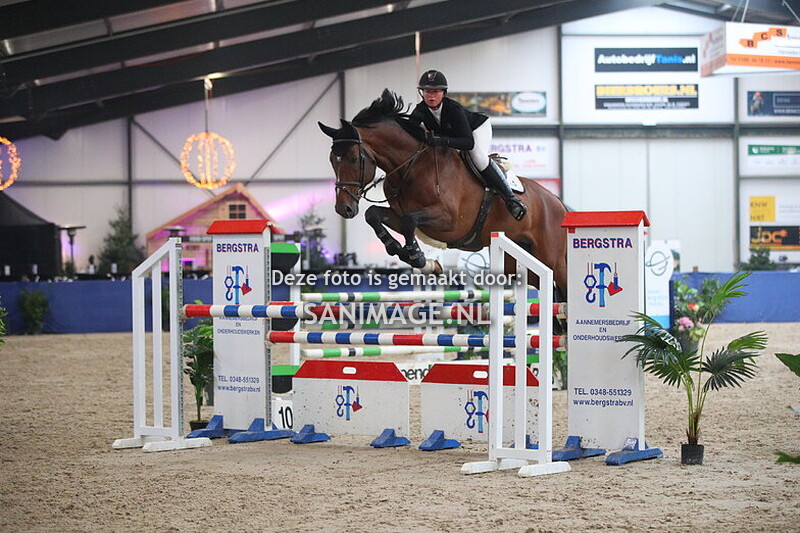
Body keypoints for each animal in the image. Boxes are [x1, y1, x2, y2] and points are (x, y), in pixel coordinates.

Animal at [318, 89, 568, 297]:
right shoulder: (402, 215)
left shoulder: (449, 222)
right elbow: (373, 214)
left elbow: (409, 221)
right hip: (519, 262)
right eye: (331, 159)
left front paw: (415, 255)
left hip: (552, 259)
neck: (411, 167)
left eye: (353, 158)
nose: (344, 208)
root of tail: (557, 202)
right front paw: (397, 248)